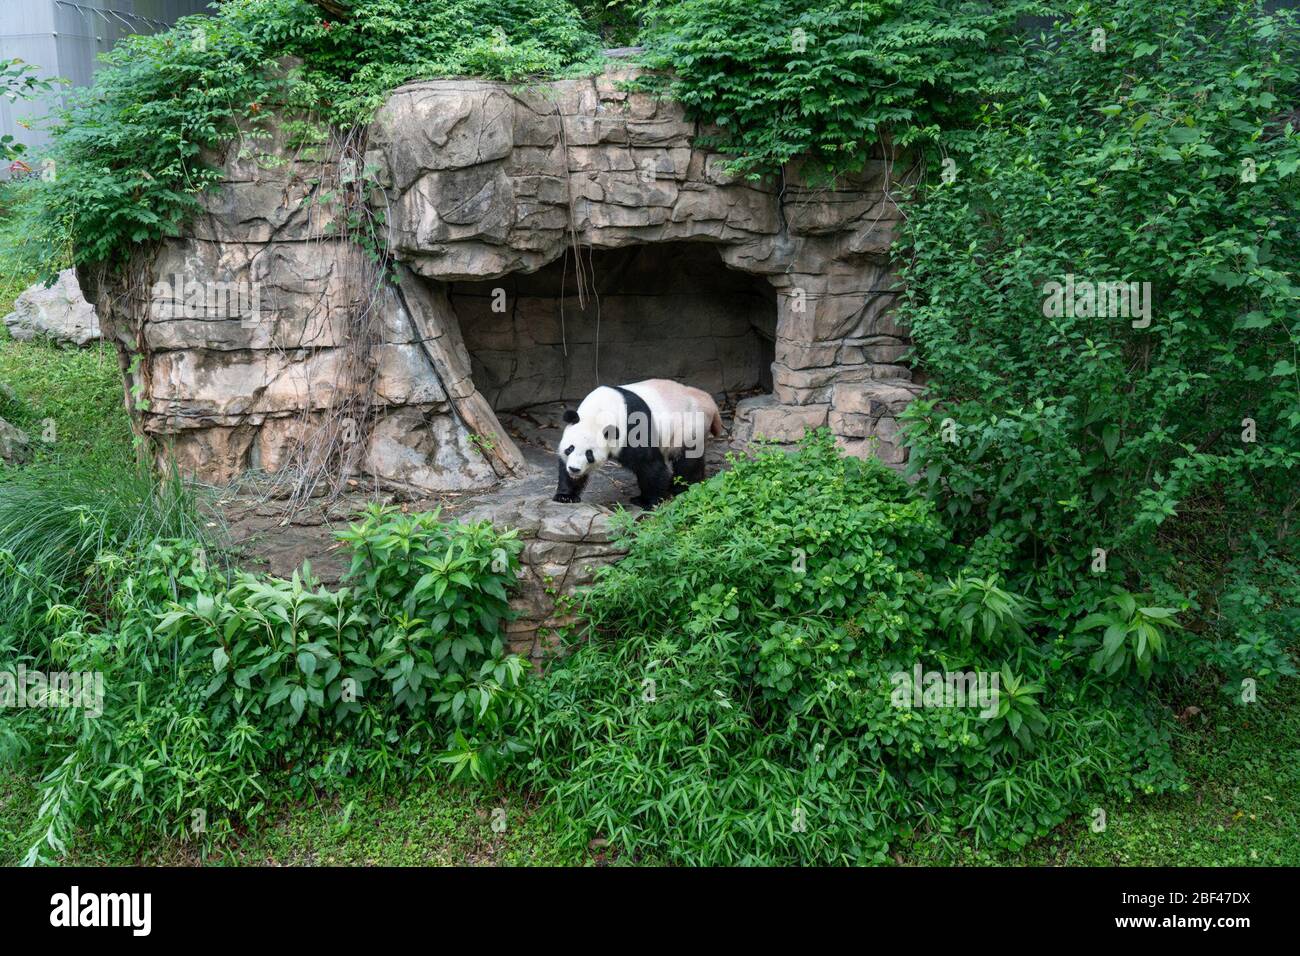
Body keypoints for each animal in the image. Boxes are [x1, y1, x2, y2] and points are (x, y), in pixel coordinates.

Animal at [553, 377, 728, 509]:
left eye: (589, 454)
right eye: (570, 449)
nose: (574, 469)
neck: (600, 412)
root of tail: (709, 401)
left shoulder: (633, 426)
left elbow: (649, 464)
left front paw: (648, 501)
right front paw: (565, 496)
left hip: (689, 424)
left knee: (687, 460)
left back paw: (681, 487)